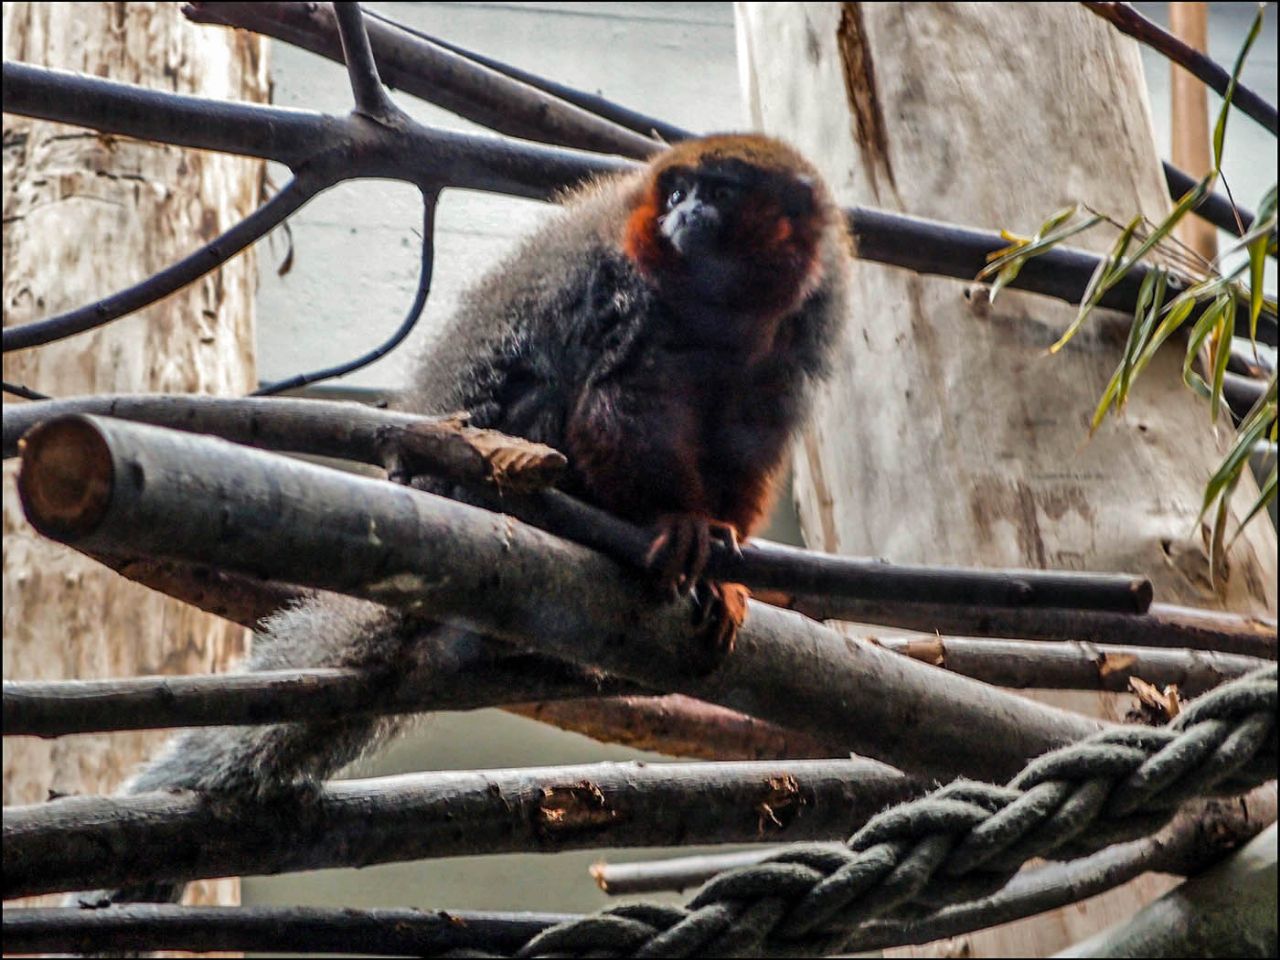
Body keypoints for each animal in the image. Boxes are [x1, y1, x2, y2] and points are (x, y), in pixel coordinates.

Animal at [72, 133, 849, 911]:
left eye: (715, 193)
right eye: (680, 192)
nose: (682, 213)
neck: (721, 313)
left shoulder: (798, 332)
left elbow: (752, 431)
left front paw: (723, 565)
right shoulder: (626, 292)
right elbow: (616, 404)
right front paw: (677, 522)